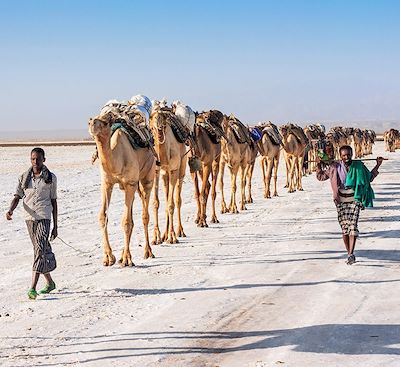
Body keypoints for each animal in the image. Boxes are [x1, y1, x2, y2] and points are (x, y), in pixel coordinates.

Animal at [88, 109, 155, 268]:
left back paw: (148, 252)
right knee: (132, 216)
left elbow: (126, 222)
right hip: (131, 187)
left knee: (145, 215)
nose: (92, 123)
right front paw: (108, 258)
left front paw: (127, 259)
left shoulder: (130, 183)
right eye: (91, 120)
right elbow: (103, 216)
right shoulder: (107, 183)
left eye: (105, 122)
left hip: (147, 178)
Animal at [149, 105, 188, 244]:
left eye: (164, 121)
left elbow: (171, 204)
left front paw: (172, 237)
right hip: (164, 175)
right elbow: (156, 203)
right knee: (166, 197)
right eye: (152, 120)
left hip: (181, 168)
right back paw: (164, 235)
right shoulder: (156, 171)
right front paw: (156, 238)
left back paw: (179, 231)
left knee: (177, 199)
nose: (160, 129)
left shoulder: (174, 169)